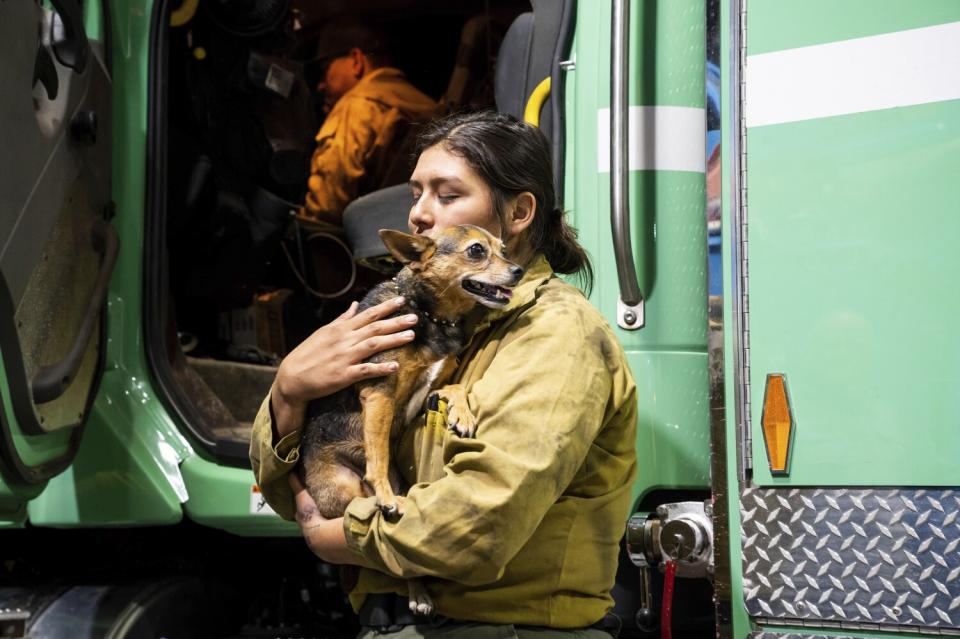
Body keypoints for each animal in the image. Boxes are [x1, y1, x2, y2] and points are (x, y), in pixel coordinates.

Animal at [302, 224, 520, 616]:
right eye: (477, 251)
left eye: (504, 249)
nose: (518, 270)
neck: (431, 315)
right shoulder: (380, 394)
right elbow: (377, 457)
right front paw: (385, 496)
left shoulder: (430, 387)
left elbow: (455, 385)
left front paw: (463, 413)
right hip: (344, 489)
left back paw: (419, 593)